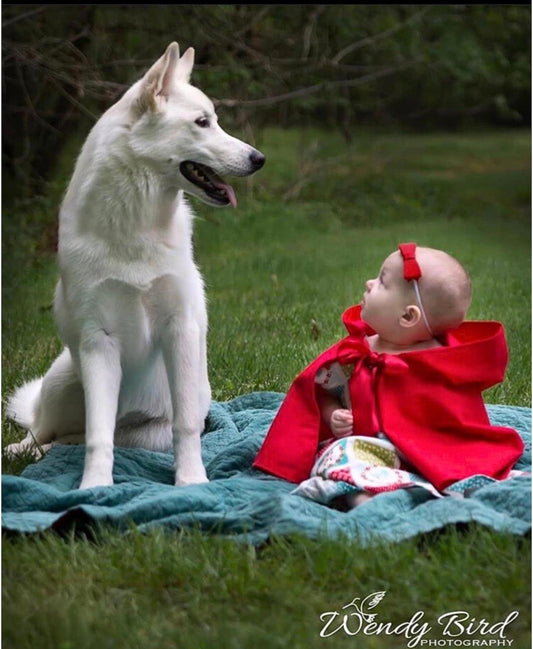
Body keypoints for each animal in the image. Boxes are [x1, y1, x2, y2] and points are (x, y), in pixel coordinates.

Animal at [5, 41, 266, 486]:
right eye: (202, 122)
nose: (258, 158)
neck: (135, 228)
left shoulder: (180, 331)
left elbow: (186, 427)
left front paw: (191, 482)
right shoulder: (99, 342)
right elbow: (98, 435)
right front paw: (94, 486)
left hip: (147, 434)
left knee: (70, 441)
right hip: (63, 381)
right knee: (47, 430)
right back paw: (23, 451)